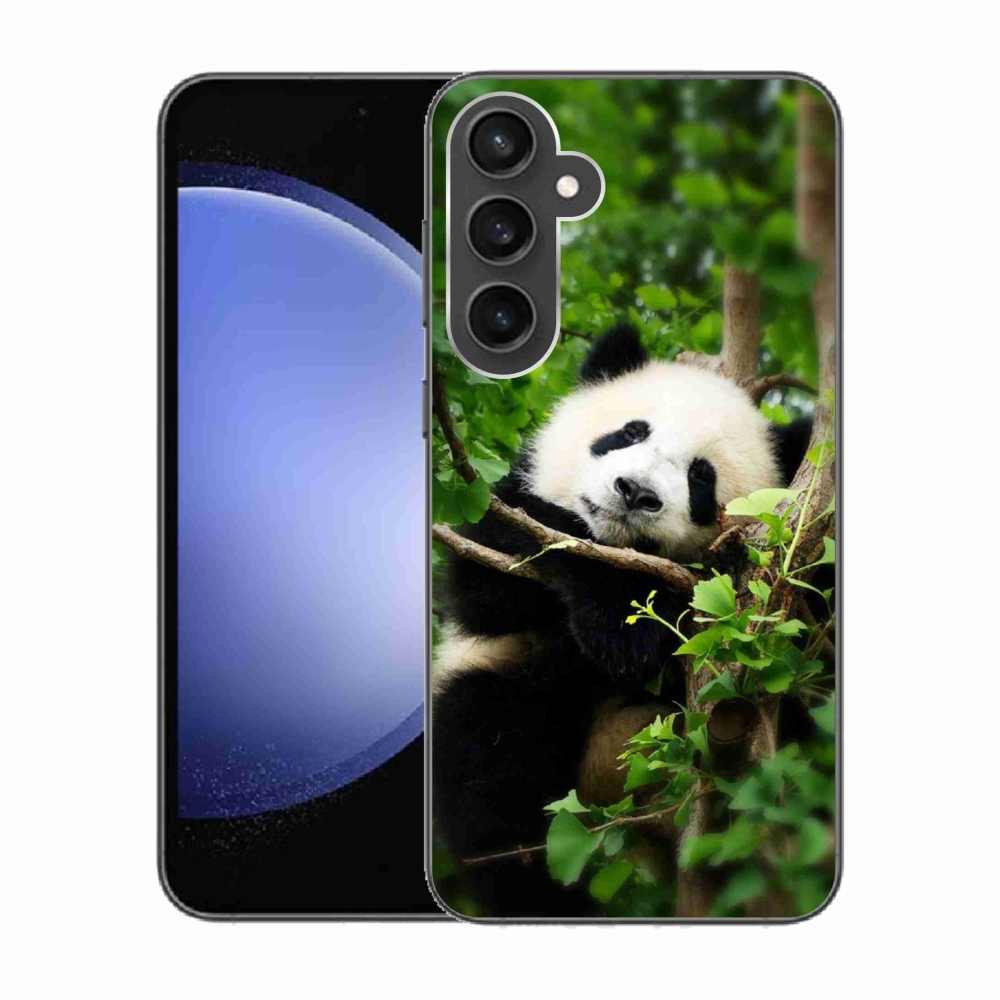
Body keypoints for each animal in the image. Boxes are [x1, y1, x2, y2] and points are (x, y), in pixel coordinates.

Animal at [432, 324, 812, 917]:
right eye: (630, 432)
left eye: (701, 477)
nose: (635, 492)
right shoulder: (496, 520)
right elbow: (489, 585)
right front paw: (622, 615)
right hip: (517, 696)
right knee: (492, 772)